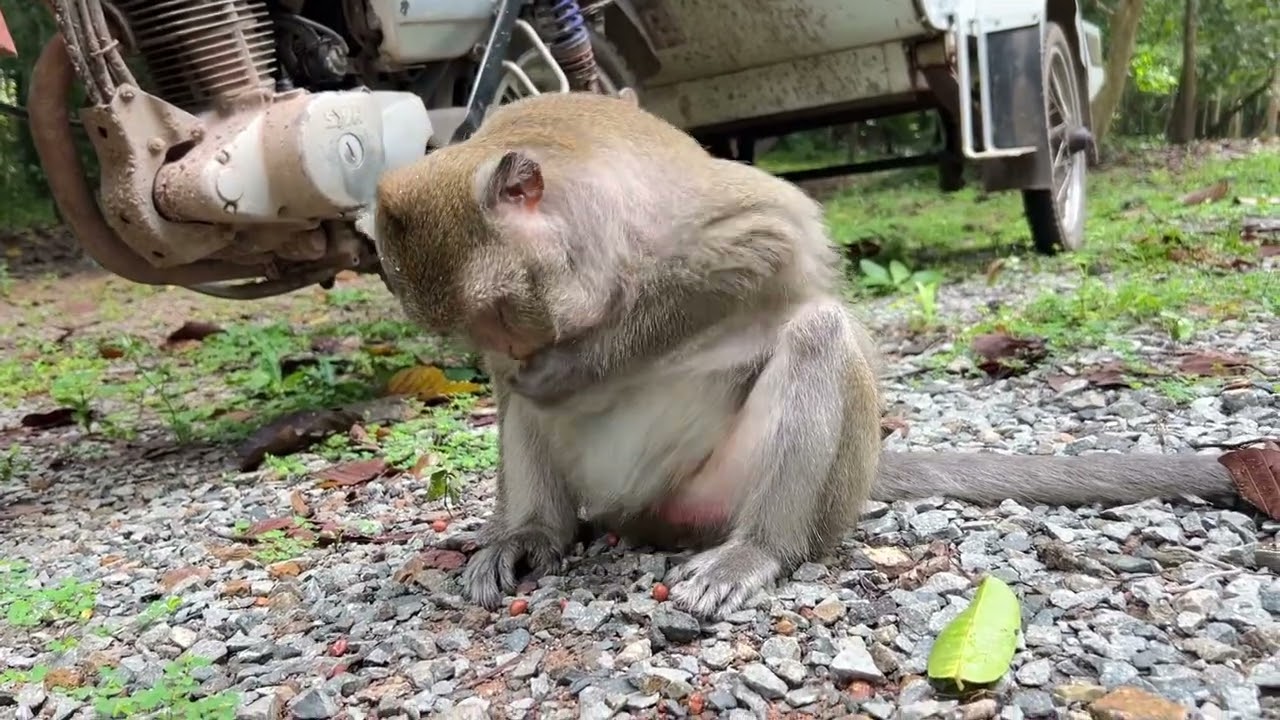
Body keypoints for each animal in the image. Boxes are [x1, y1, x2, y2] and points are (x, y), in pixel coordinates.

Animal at [373, 92, 1239, 619]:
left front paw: (570, 370)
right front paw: (525, 386)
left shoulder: (649, 212)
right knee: (524, 421)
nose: (507, 352)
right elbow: (516, 394)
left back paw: (759, 549)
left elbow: (769, 232)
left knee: (818, 333)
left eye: (499, 312)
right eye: (469, 331)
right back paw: (533, 534)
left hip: (734, 494)